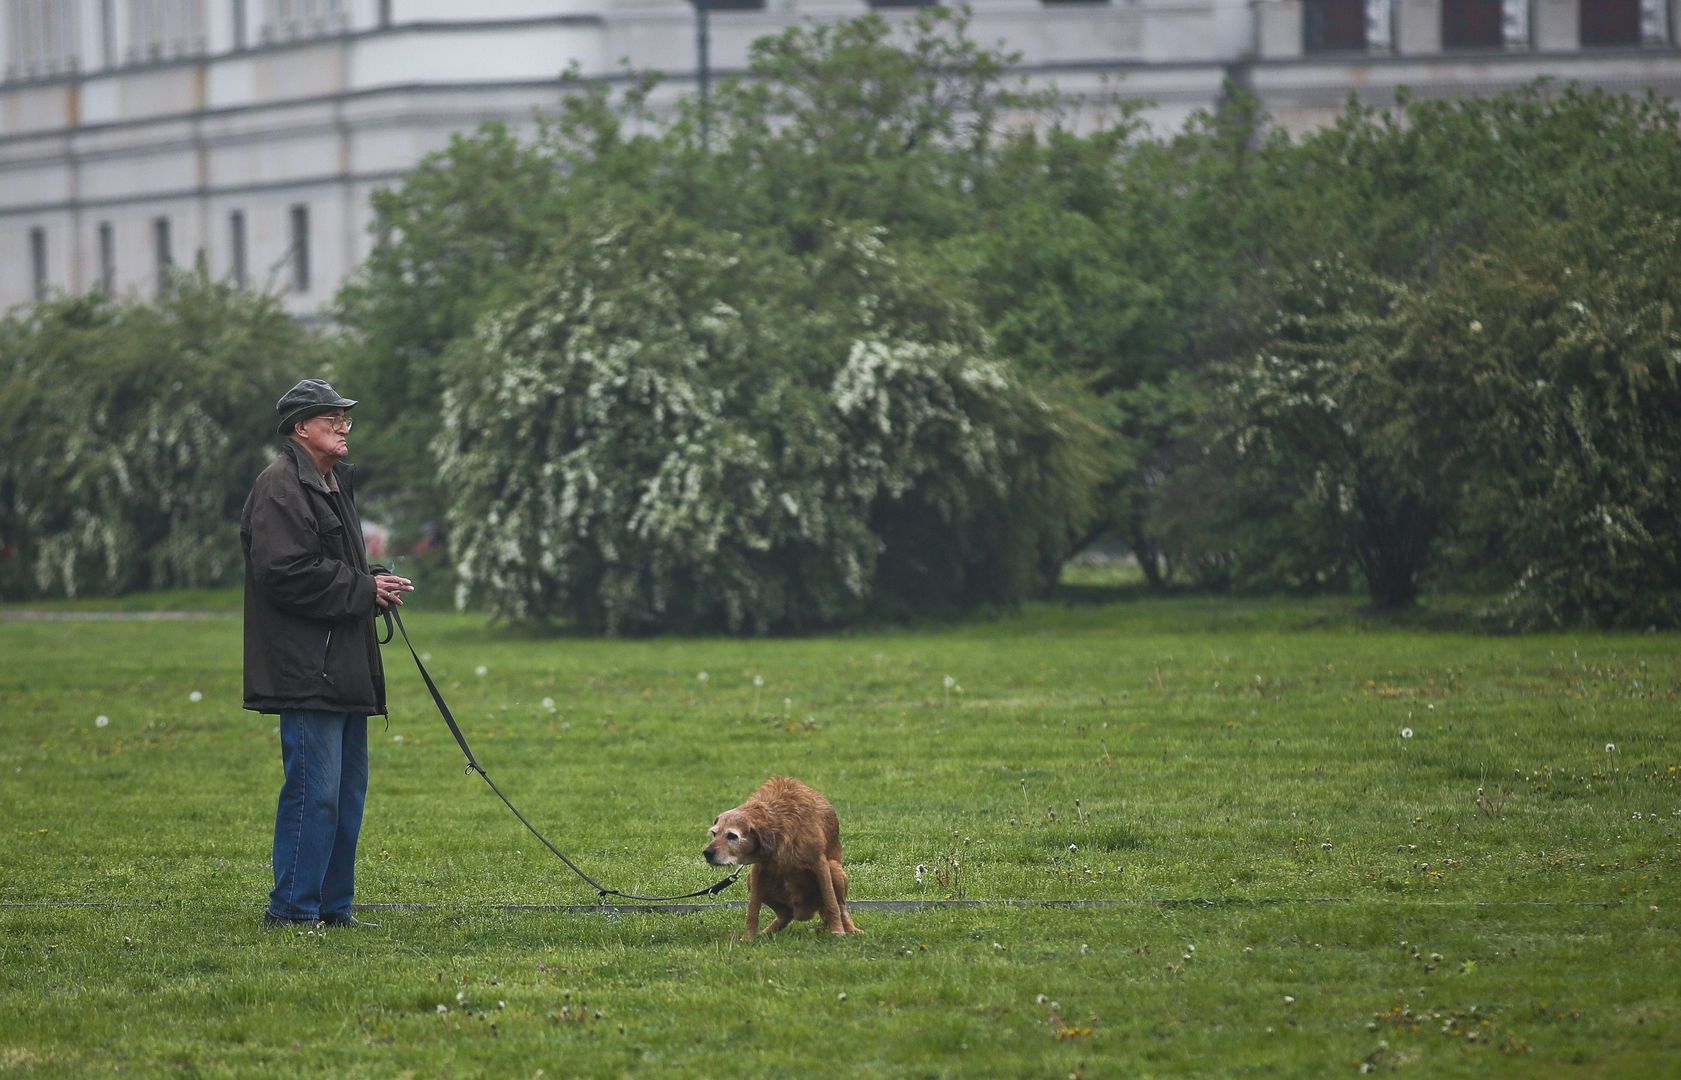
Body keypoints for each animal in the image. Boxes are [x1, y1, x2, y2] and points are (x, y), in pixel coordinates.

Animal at [702, 773, 860, 935]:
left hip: (834, 868)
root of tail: (803, 911)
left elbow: (831, 902)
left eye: (732, 836)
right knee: (786, 914)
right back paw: (766, 933)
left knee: (841, 908)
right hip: (752, 879)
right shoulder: (758, 870)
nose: (707, 853)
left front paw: (838, 932)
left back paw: (850, 930)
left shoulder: (820, 864)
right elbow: (753, 909)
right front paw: (748, 938)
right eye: (714, 833)